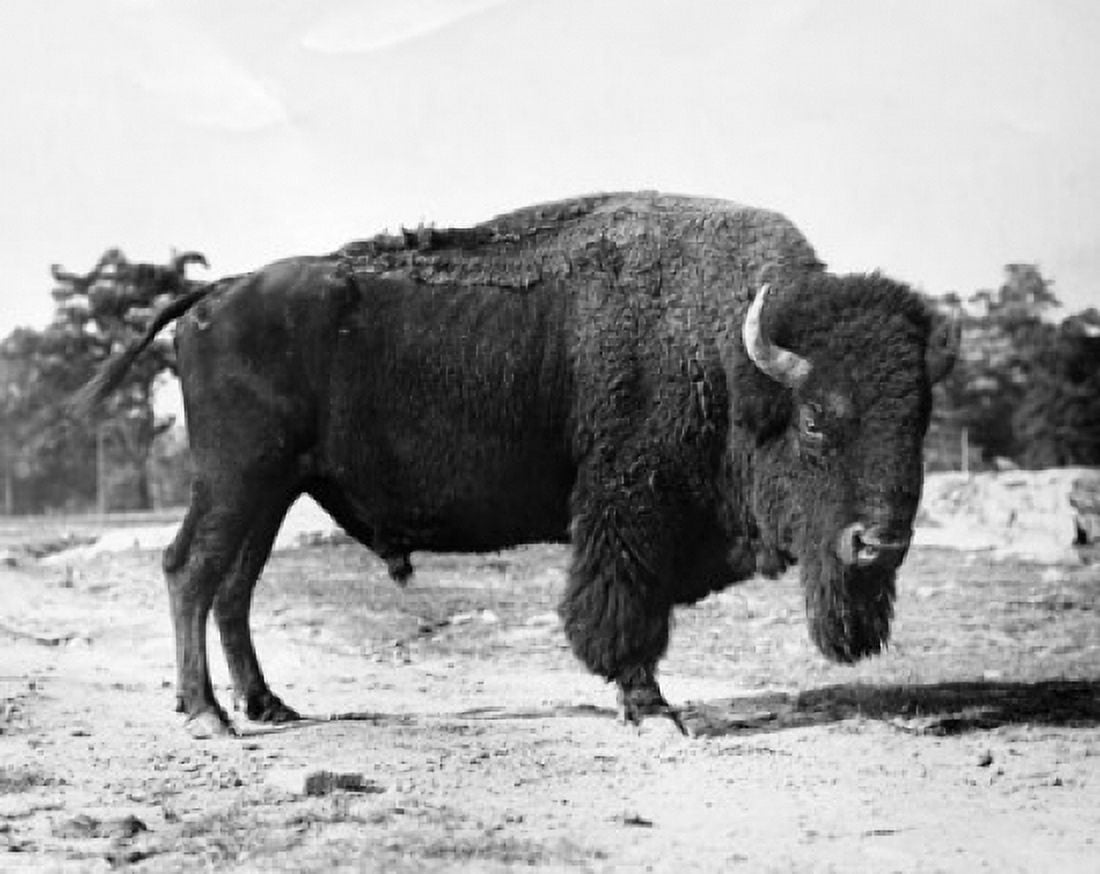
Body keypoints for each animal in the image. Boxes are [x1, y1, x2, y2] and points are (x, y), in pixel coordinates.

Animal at [75, 193, 958, 737]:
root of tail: (218, 293)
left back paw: (267, 705)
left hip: (273, 489)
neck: (728, 355)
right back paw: (207, 715)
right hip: (237, 480)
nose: (879, 544)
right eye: (815, 420)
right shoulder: (626, 512)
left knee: (234, 586)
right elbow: (623, 611)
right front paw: (652, 709)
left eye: (919, 419)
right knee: (191, 570)